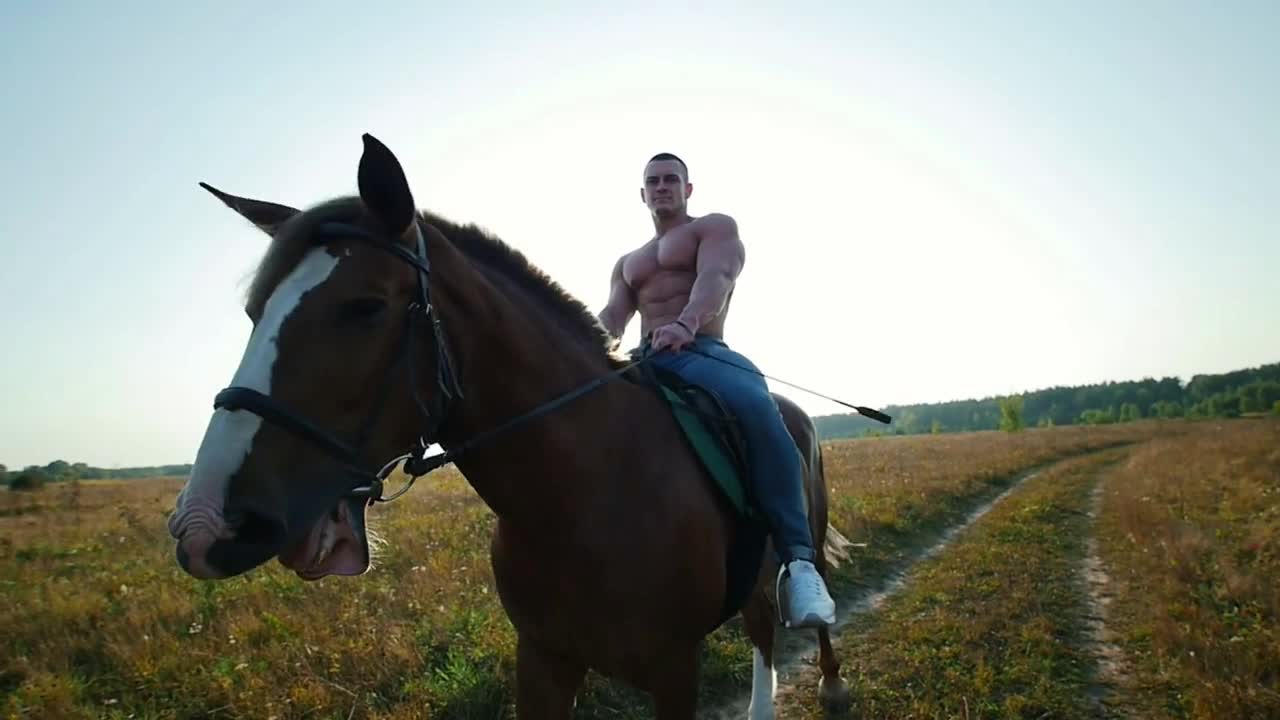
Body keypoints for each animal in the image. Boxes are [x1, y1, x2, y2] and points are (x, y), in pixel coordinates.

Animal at [167, 133, 849, 712]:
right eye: (254, 312)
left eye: (363, 307)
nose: (206, 525)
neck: (582, 496)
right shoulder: (544, 660)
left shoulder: (675, 669)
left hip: (804, 537)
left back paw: (831, 684)